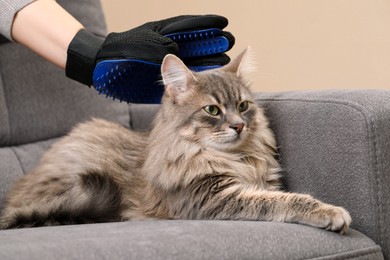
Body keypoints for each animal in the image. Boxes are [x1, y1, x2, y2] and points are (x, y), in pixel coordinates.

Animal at [0, 47, 350, 232]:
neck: (239, 158)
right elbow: (288, 201)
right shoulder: (215, 199)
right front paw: (332, 213)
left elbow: (282, 195)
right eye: (212, 110)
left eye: (243, 106)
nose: (238, 126)